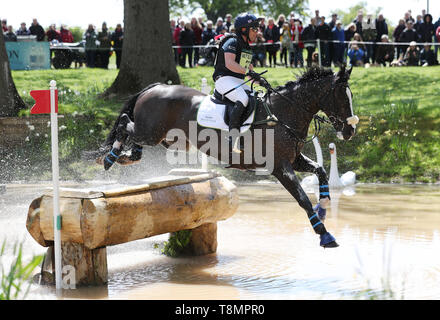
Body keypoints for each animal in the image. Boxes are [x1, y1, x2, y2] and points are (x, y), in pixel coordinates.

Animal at [92, 65, 358, 249]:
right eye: (342, 97)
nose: (350, 131)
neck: (284, 113)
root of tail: (156, 87)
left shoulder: (293, 160)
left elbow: (320, 171)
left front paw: (323, 206)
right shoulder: (280, 167)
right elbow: (302, 198)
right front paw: (324, 234)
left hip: (166, 138)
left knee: (134, 137)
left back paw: (126, 156)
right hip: (152, 132)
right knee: (125, 124)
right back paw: (110, 157)